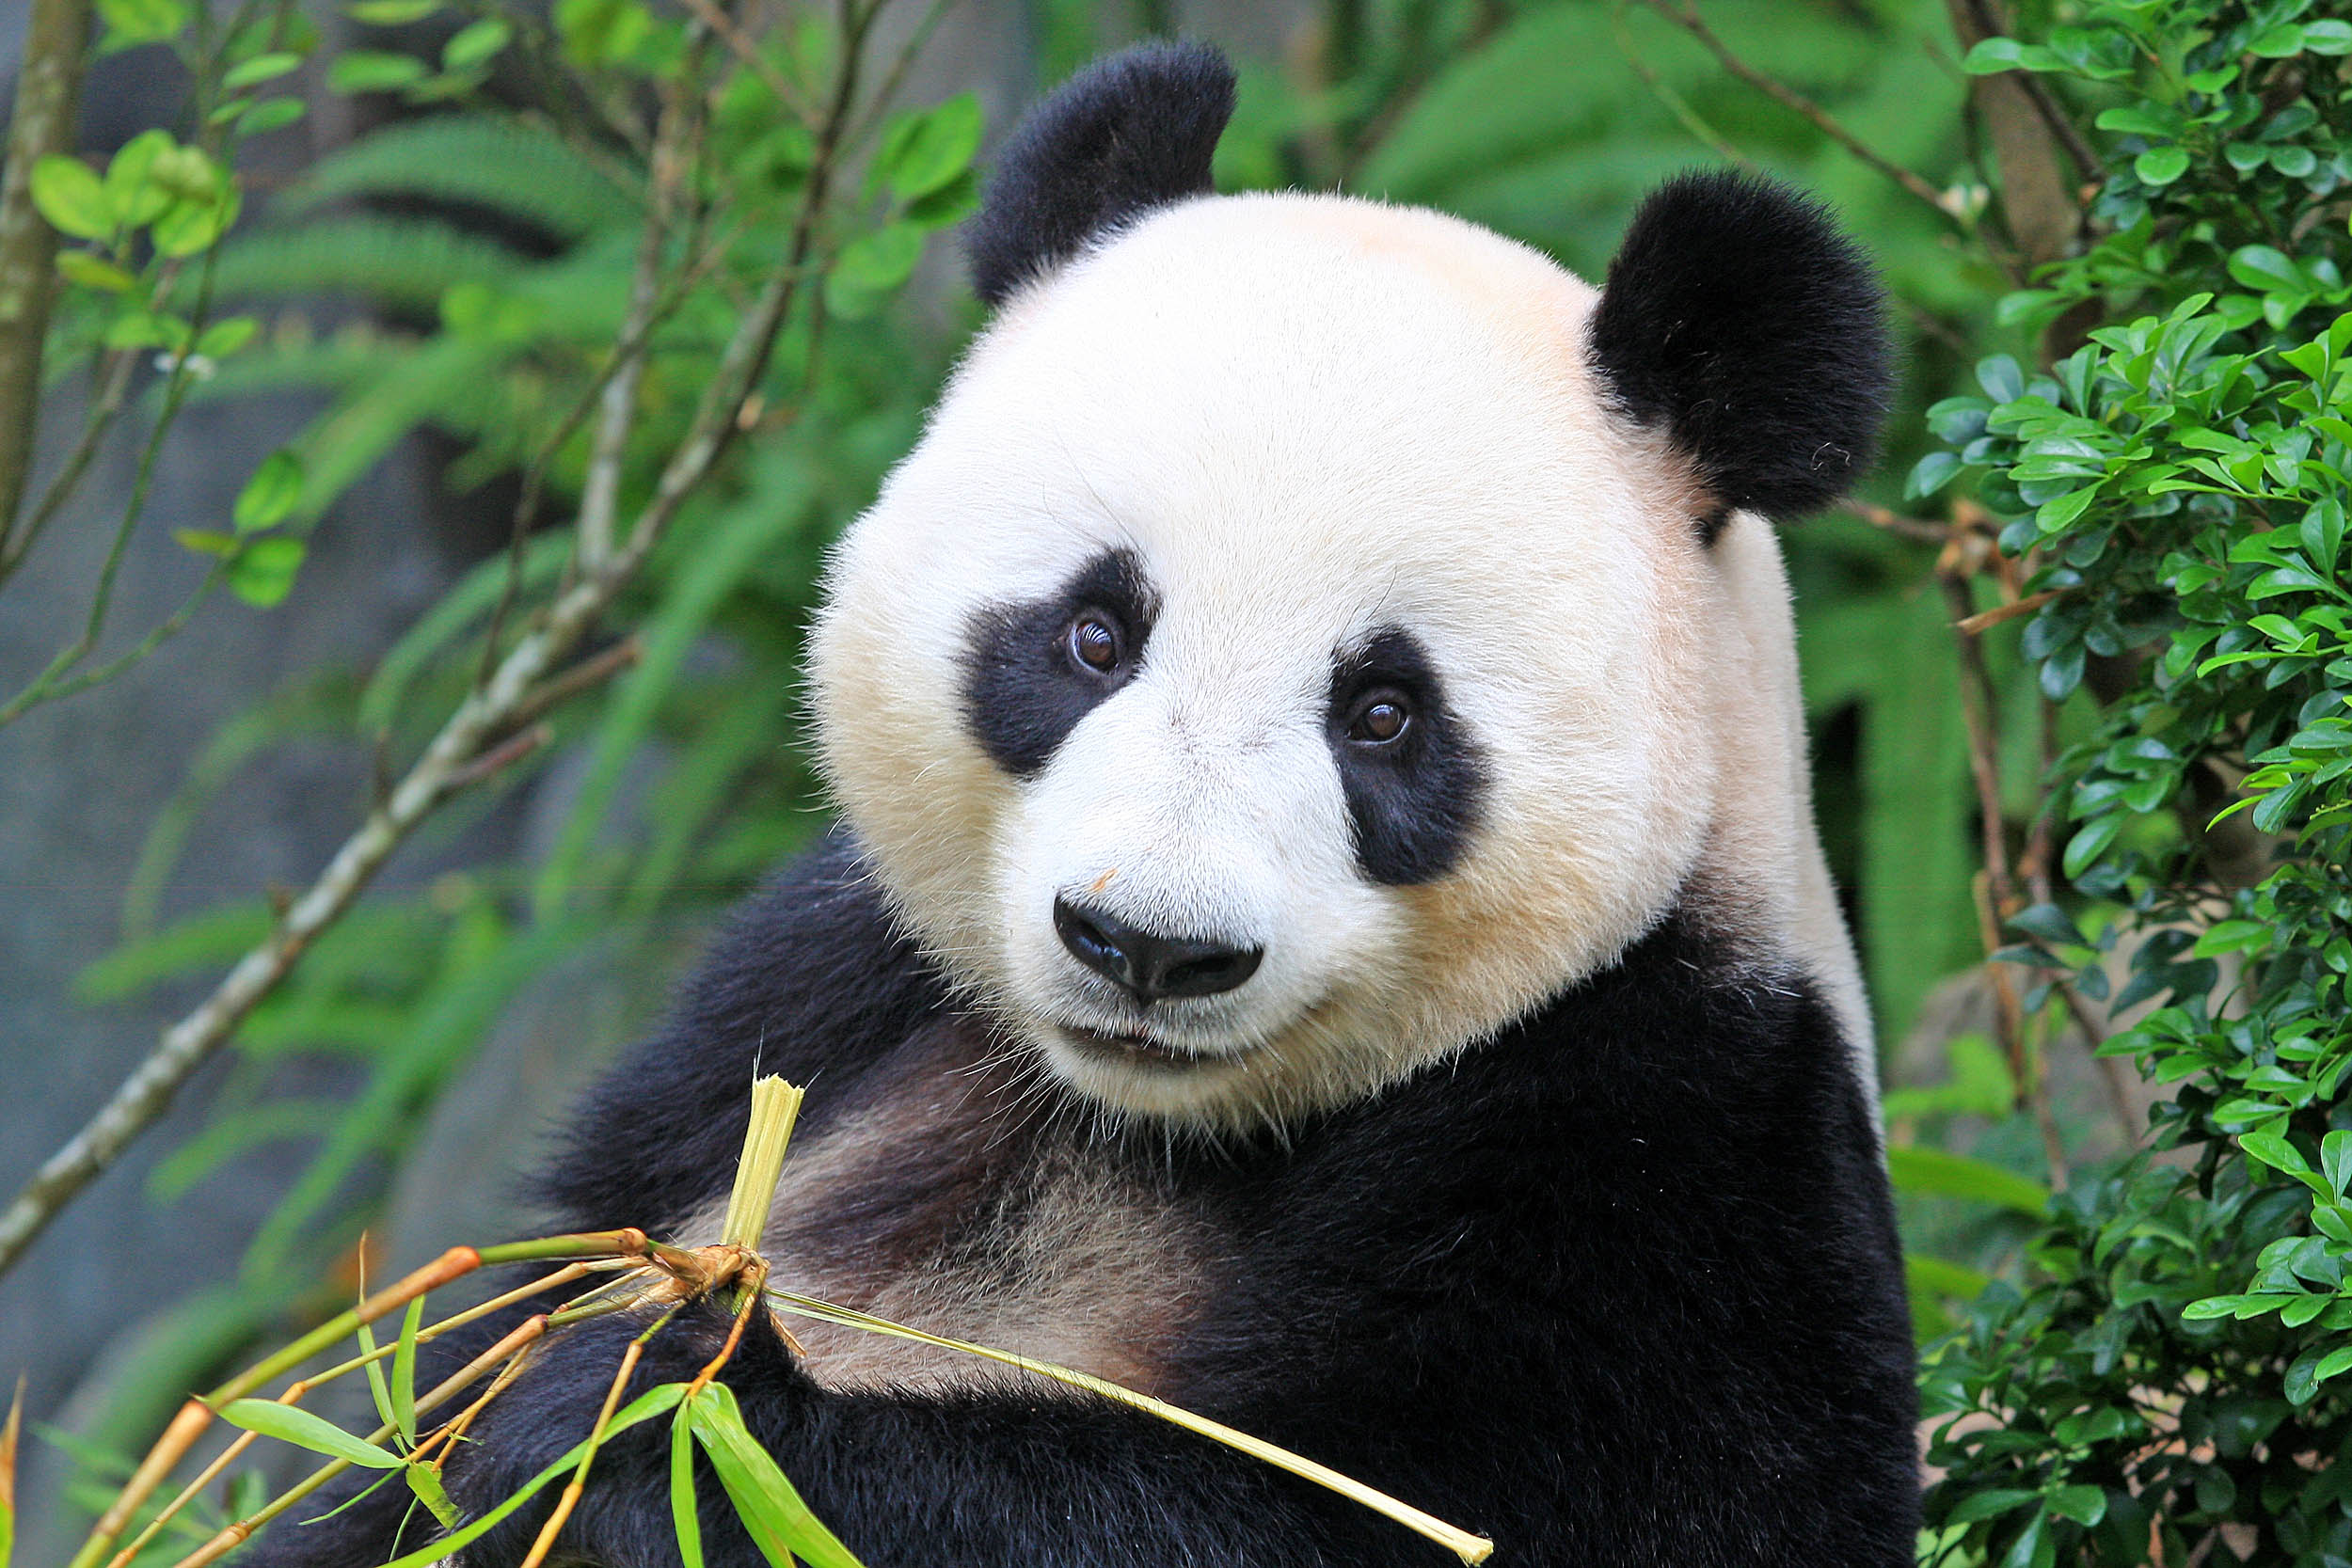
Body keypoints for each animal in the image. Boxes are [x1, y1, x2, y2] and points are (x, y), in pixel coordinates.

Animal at [259, 39, 1918, 1568]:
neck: (1146, 1123)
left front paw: (641, 1422)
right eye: (1094, 635)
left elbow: (1410, 1511)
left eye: (1385, 714)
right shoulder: (813, 1003)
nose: (1152, 948)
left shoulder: (1672, 1147)